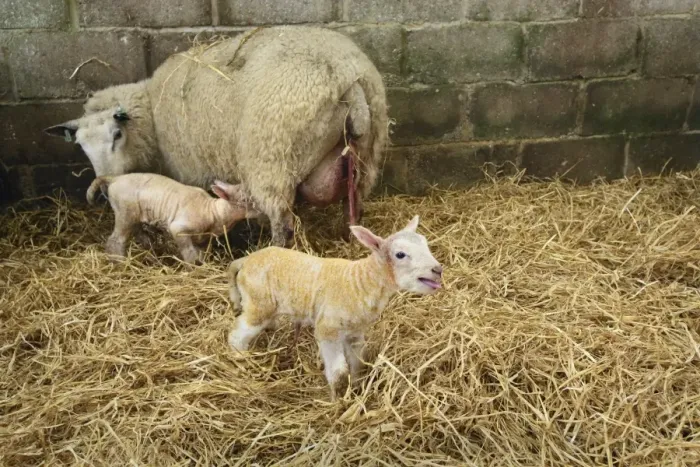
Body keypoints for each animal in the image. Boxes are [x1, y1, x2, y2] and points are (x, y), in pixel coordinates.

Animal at [44, 26, 389, 248]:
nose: (104, 188)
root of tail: (347, 77)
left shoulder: (190, 170)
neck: (151, 112)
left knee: (282, 224)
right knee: (354, 208)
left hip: (271, 157)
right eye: (81, 146)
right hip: (366, 157)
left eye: (117, 134)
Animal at [86, 173, 260, 264]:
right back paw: (120, 263)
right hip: (124, 213)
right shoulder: (178, 228)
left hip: (133, 216)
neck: (213, 212)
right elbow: (189, 253)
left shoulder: (204, 238)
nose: (262, 209)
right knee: (116, 240)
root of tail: (114, 178)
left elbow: (202, 253)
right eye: (245, 200)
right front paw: (193, 269)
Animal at [226, 215, 444, 399]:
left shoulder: (355, 332)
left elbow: (357, 363)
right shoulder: (327, 329)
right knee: (238, 333)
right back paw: (241, 359)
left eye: (425, 244)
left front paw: (356, 387)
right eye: (400, 254)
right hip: (258, 303)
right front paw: (336, 400)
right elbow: (338, 372)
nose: (437, 270)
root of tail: (245, 260)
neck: (361, 282)